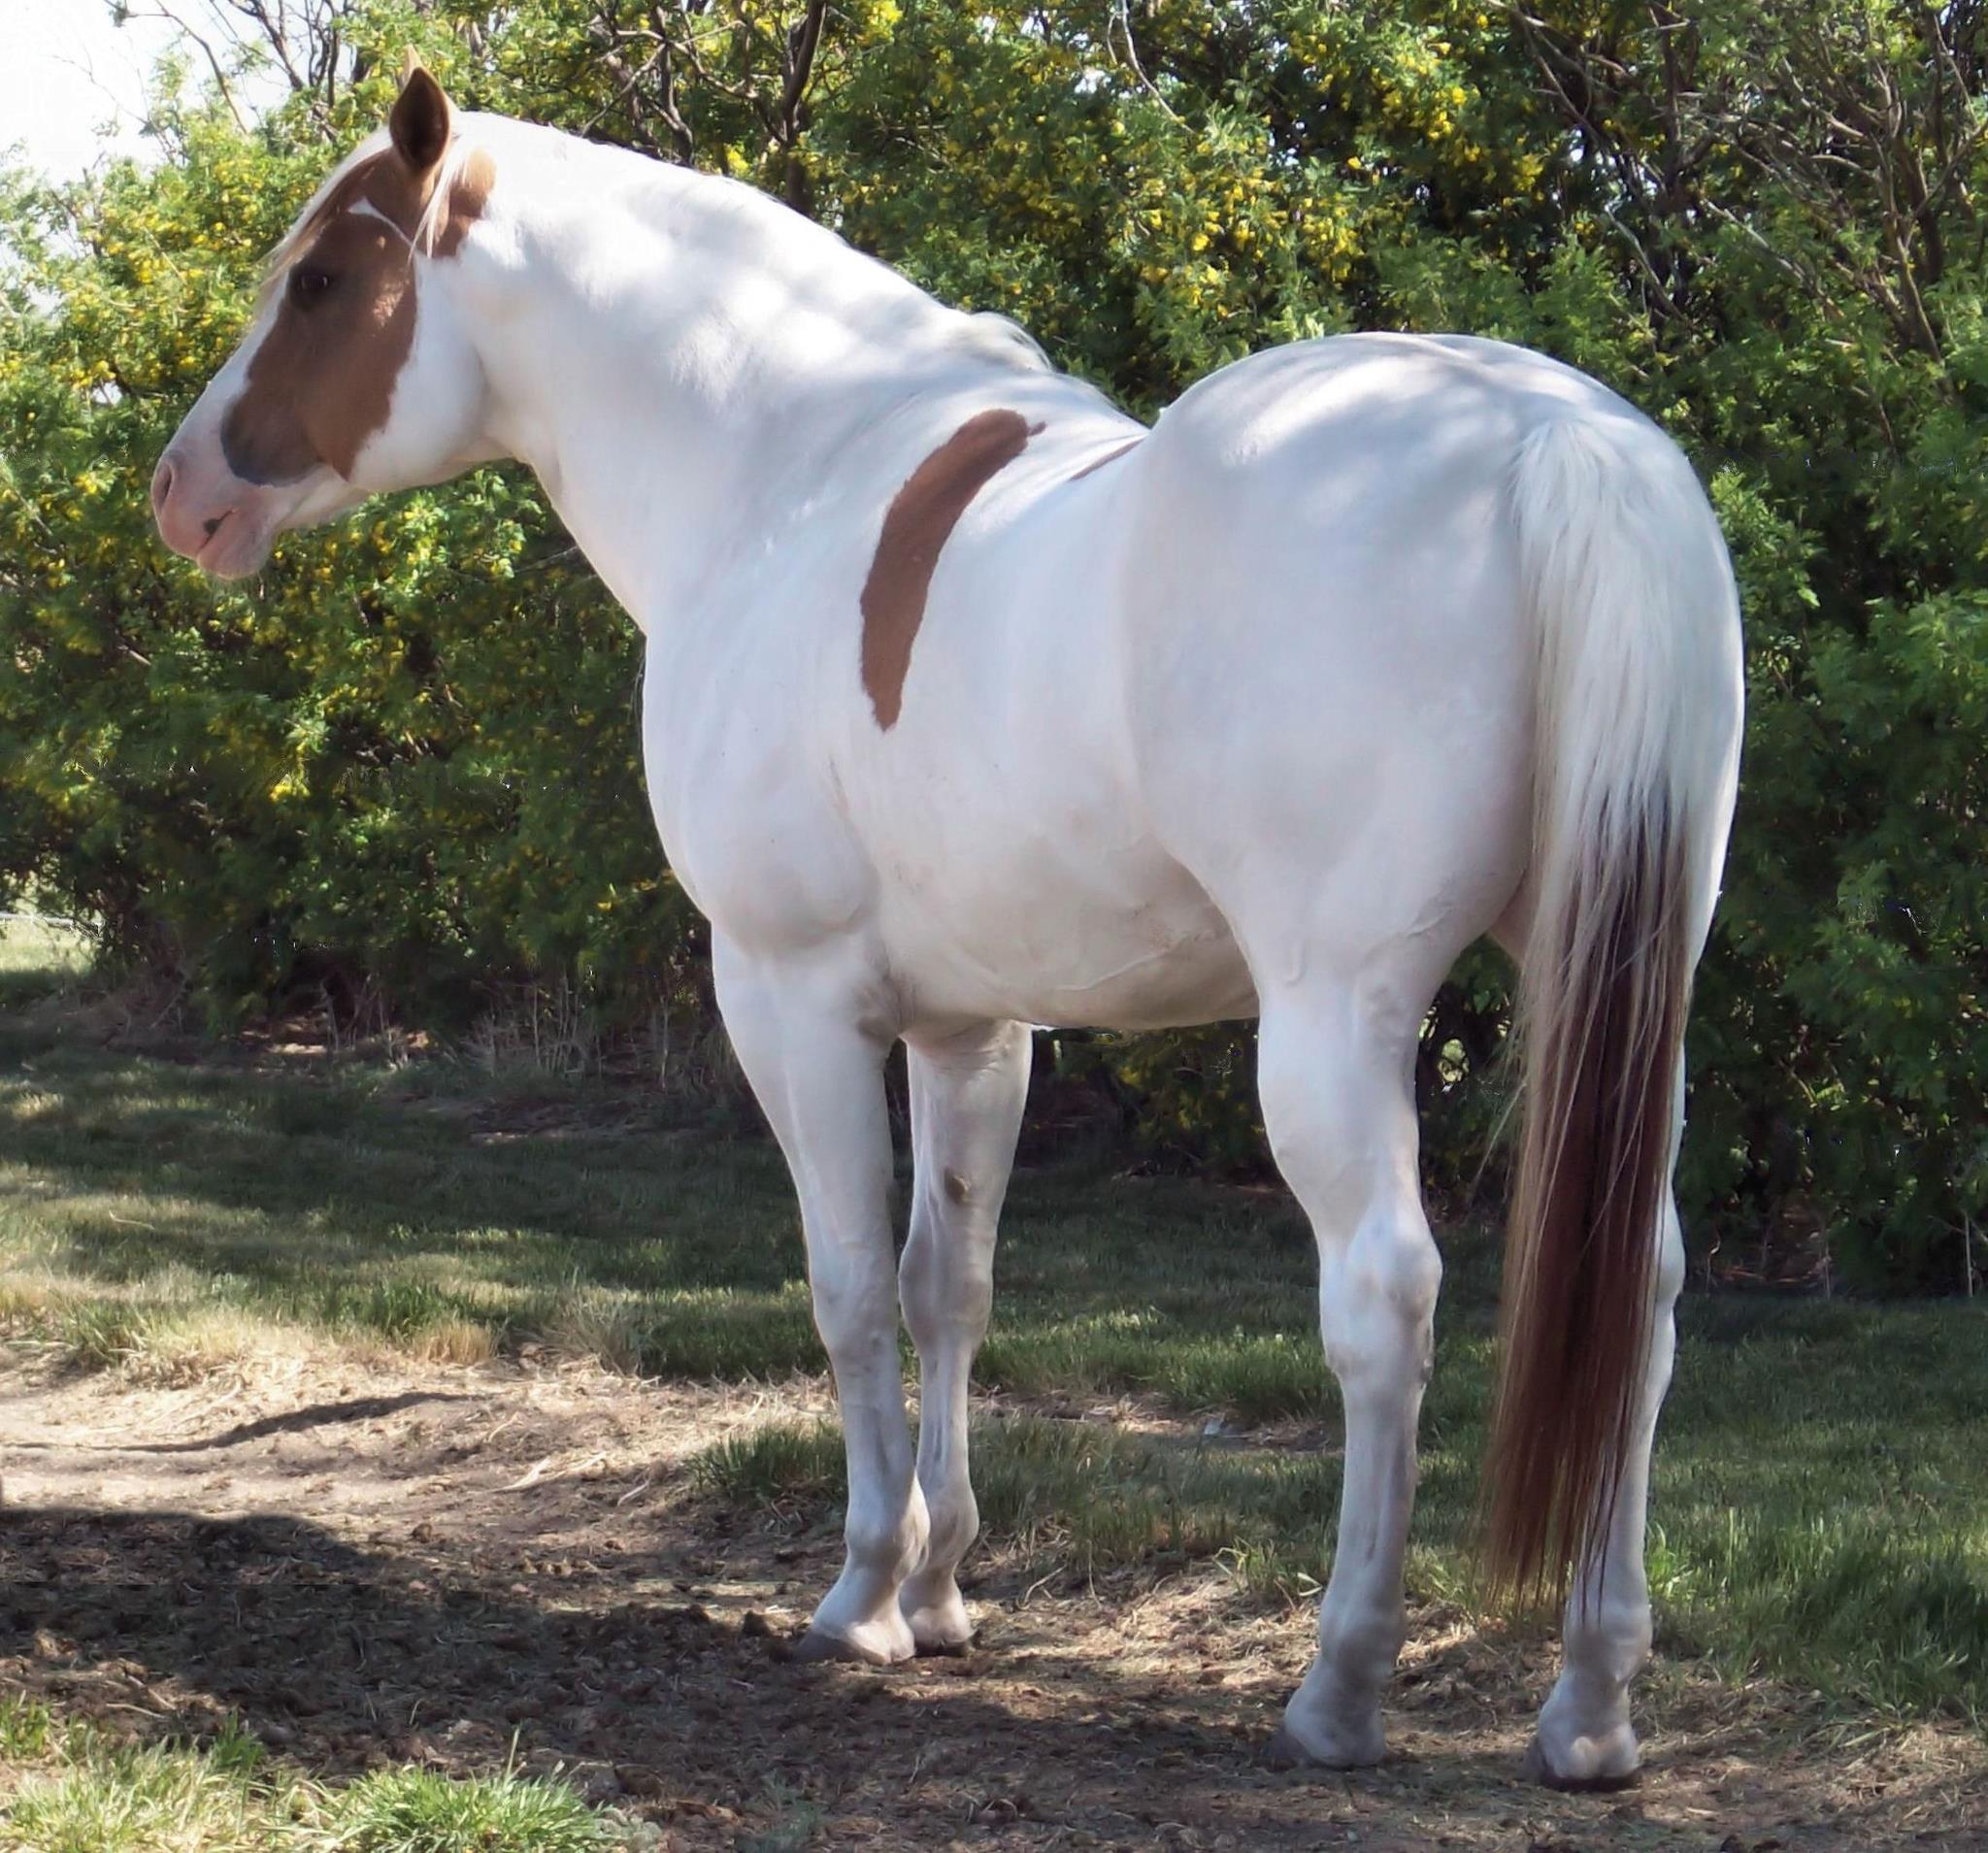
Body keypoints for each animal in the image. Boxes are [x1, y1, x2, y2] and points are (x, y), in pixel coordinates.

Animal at [152, 63, 1744, 1788]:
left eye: (322, 280)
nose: (182, 492)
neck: (780, 473)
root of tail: (1558, 440)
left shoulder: (787, 999)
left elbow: (848, 1282)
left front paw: (859, 1593)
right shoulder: (975, 1025)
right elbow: (951, 1284)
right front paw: (942, 1588)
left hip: (1337, 1023)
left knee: (1384, 1299)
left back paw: (1342, 1684)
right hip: (1612, 989)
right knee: (1641, 1290)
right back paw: (1591, 1703)